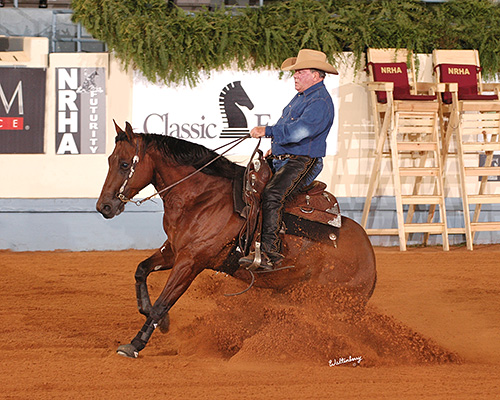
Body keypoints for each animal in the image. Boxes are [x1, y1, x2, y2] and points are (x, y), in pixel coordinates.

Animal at [95, 122, 376, 360]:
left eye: (124, 164)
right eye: (109, 160)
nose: (104, 206)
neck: (202, 197)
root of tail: (370, 259)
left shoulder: (191, 261)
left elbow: (162, 303)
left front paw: (135, 344)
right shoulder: (174, 251)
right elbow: (141, 270)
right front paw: (160, 322)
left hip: (327, 300)